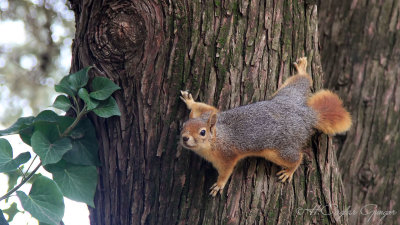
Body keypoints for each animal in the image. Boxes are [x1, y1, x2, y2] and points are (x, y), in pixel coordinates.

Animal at [180, 57, 352, 197]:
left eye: (202, 132)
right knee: (301, 81)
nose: (184, 138)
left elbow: (226, 171)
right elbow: (207, 107)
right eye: (183, 125)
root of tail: (307, 115)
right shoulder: (212, 113)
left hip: (279, 150)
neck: (217, 137)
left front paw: (219, 185)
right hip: (288, 93)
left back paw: (289, 171)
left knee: (297, 157)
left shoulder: (227, 156)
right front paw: (190, 101)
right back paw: (302, 69)